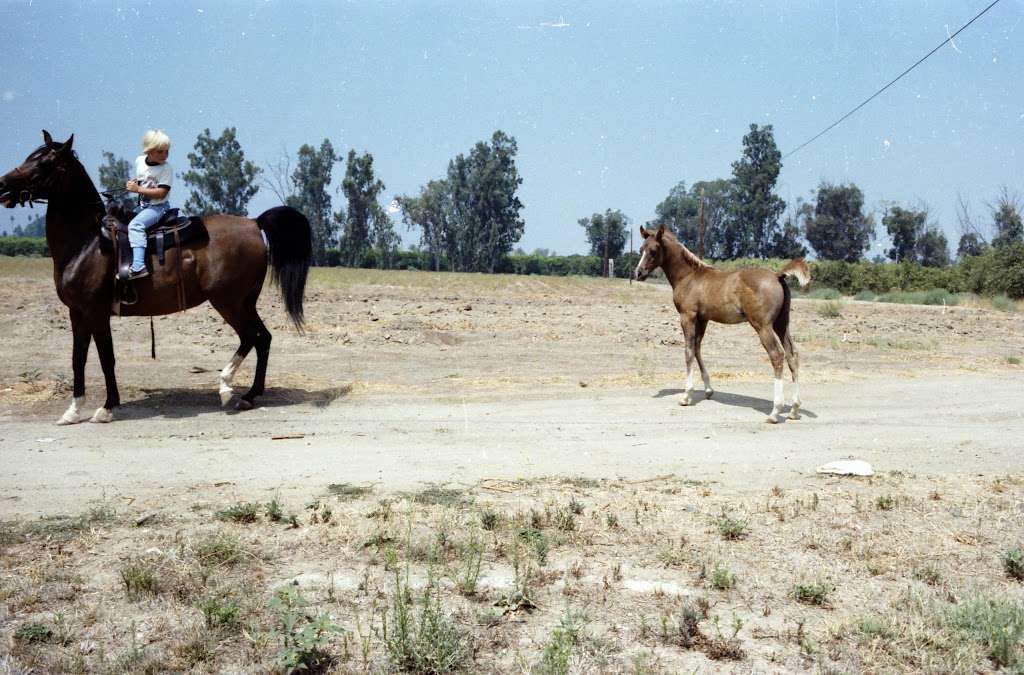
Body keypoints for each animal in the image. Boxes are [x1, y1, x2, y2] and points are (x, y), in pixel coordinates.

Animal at [1, 133, 311, 426]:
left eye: (45, 163)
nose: (3, 185)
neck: (87, 243)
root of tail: (254, 223)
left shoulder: (96, 313)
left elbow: (106, 358)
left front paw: (107, 407)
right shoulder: (77, 313)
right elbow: (78, 359)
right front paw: (73, 411)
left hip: (228, 302)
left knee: (250, 337)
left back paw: (227, 388)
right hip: (245, 302)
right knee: (263, 338)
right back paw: (249, 395)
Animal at [630, 225, 806, 422]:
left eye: (653, 250)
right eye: (641, 249)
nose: (638, 273)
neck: (689, 276)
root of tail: (777, 275)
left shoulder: (687, 316)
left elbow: (688, 351)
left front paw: (686, 396)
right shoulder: (703, 319)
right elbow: (697, 348)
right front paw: (708, 390)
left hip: (763, 326)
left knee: (777, 355)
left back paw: (775, 411)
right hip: (781, 324)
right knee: (792, 355)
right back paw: (794, 409)